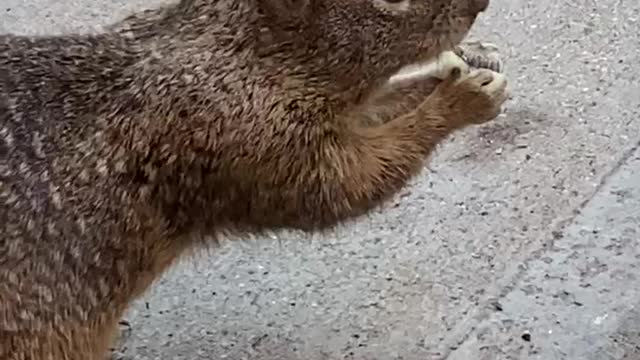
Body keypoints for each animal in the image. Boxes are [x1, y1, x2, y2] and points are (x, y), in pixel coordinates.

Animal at [2, 0, 508, 358]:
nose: (480, 1)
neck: (245, 57)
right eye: (389, 0)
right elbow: (345, 186)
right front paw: (462, 98)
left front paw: (465, 63)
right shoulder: (246, 142)